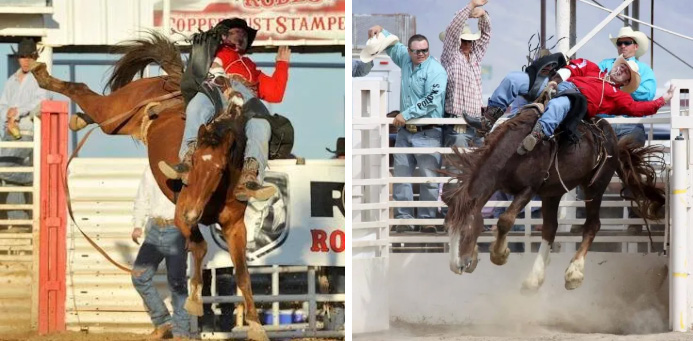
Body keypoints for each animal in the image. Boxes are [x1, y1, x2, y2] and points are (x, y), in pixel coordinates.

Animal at [30, 30, 268, 338]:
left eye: (219, 170)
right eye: (192, 163)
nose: (192, 213)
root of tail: (171, 83)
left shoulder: (234, 226)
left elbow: (242, 273)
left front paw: (256, 325)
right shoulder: (180, 215)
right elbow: (200, 248)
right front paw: (194, 301)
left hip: (119, 121)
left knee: (94, 109)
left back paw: (76, 120)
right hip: (117, 110)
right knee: (84, 92)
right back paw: (42, 75)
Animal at [444, 103, 664, 290]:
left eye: (466, 230)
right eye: (448, 229)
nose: (456, 266)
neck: (515, 151)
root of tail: (614, 140)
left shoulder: (529, 188)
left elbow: (505, 220)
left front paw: (499, 254)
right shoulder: (497, 185)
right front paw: (476, 255)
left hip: (595, 187)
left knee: (592, 225)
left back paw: (574, 273)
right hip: (553, 192)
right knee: (550, 228)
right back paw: (535, 278)